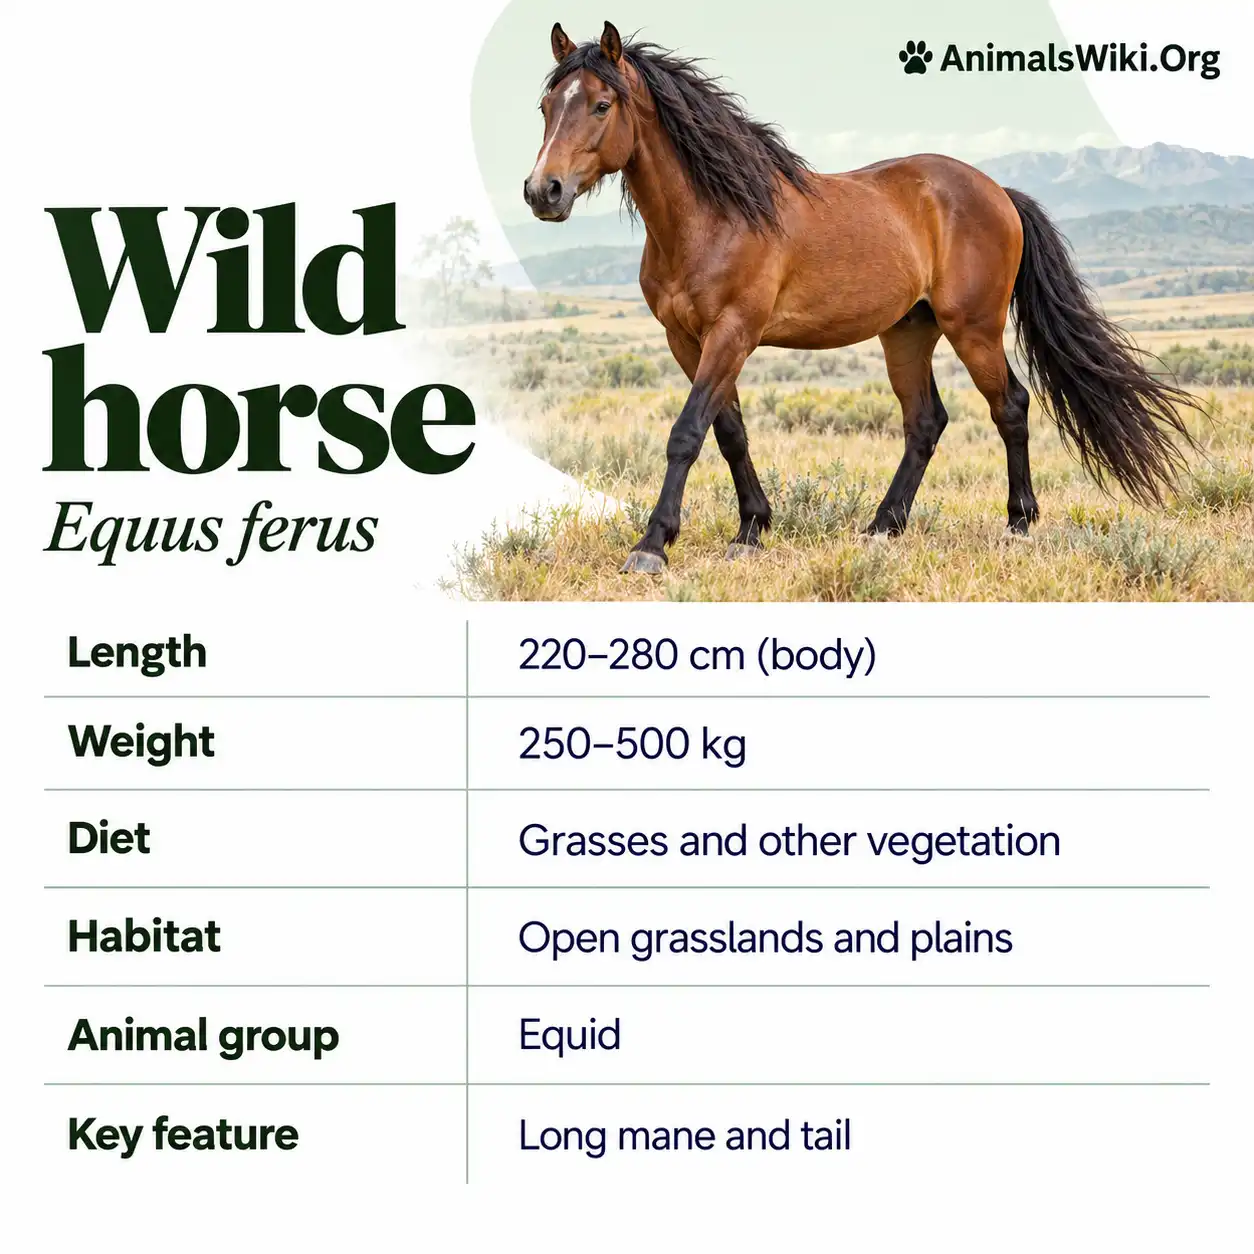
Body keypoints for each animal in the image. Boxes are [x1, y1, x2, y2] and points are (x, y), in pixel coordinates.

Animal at [524, 22, 1202, 574]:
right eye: (546, 105)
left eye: (602, 104)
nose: (542, 191)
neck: (715, 216)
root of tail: (998, 193)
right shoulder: (687, 341)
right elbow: (729, 431)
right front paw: (751, 530)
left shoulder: (733, 334)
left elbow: (687, 432)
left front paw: (652, 546)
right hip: (908, 331)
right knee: (925, 422)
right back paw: (882, 526)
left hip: (973, 327)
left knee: (1009, 405)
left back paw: (1017, 521)